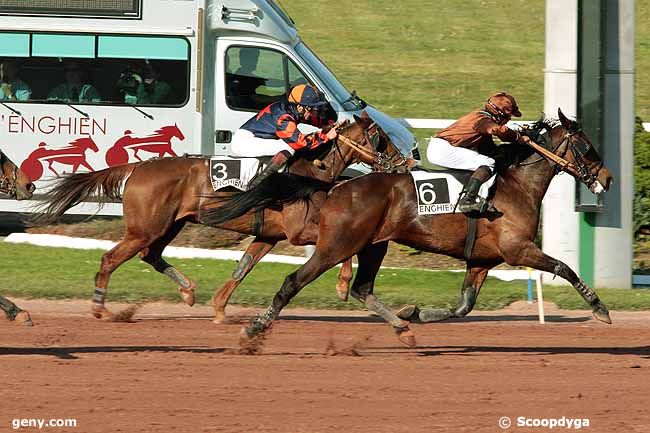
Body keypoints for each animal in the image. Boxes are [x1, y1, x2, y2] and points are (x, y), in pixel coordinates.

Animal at [35, 113, 408, 318]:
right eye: (382, 138)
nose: (406, 161)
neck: (311, 169)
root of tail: (138, 167)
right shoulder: (300, 230)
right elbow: (342, 249)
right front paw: (344, 285)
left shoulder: (269, 235)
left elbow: (243, 267)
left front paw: (218, 308)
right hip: (145, 228)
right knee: (111, 259)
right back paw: (100, 308)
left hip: (170, 225)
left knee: (150, 256)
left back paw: (188, 291)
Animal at [209, 109, 612, 346]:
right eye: (587, 147)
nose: (607, 178)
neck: (515, 185)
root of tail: (336, 187)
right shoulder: (518, 250)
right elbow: (565, 267)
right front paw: (600, 308)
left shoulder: (481, 261)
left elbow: (463, 307)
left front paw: (416, 313)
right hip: (336, 245)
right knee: (294, 281)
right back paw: (254, 328)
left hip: (375, 245)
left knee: (363, 289)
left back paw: (402, 328)